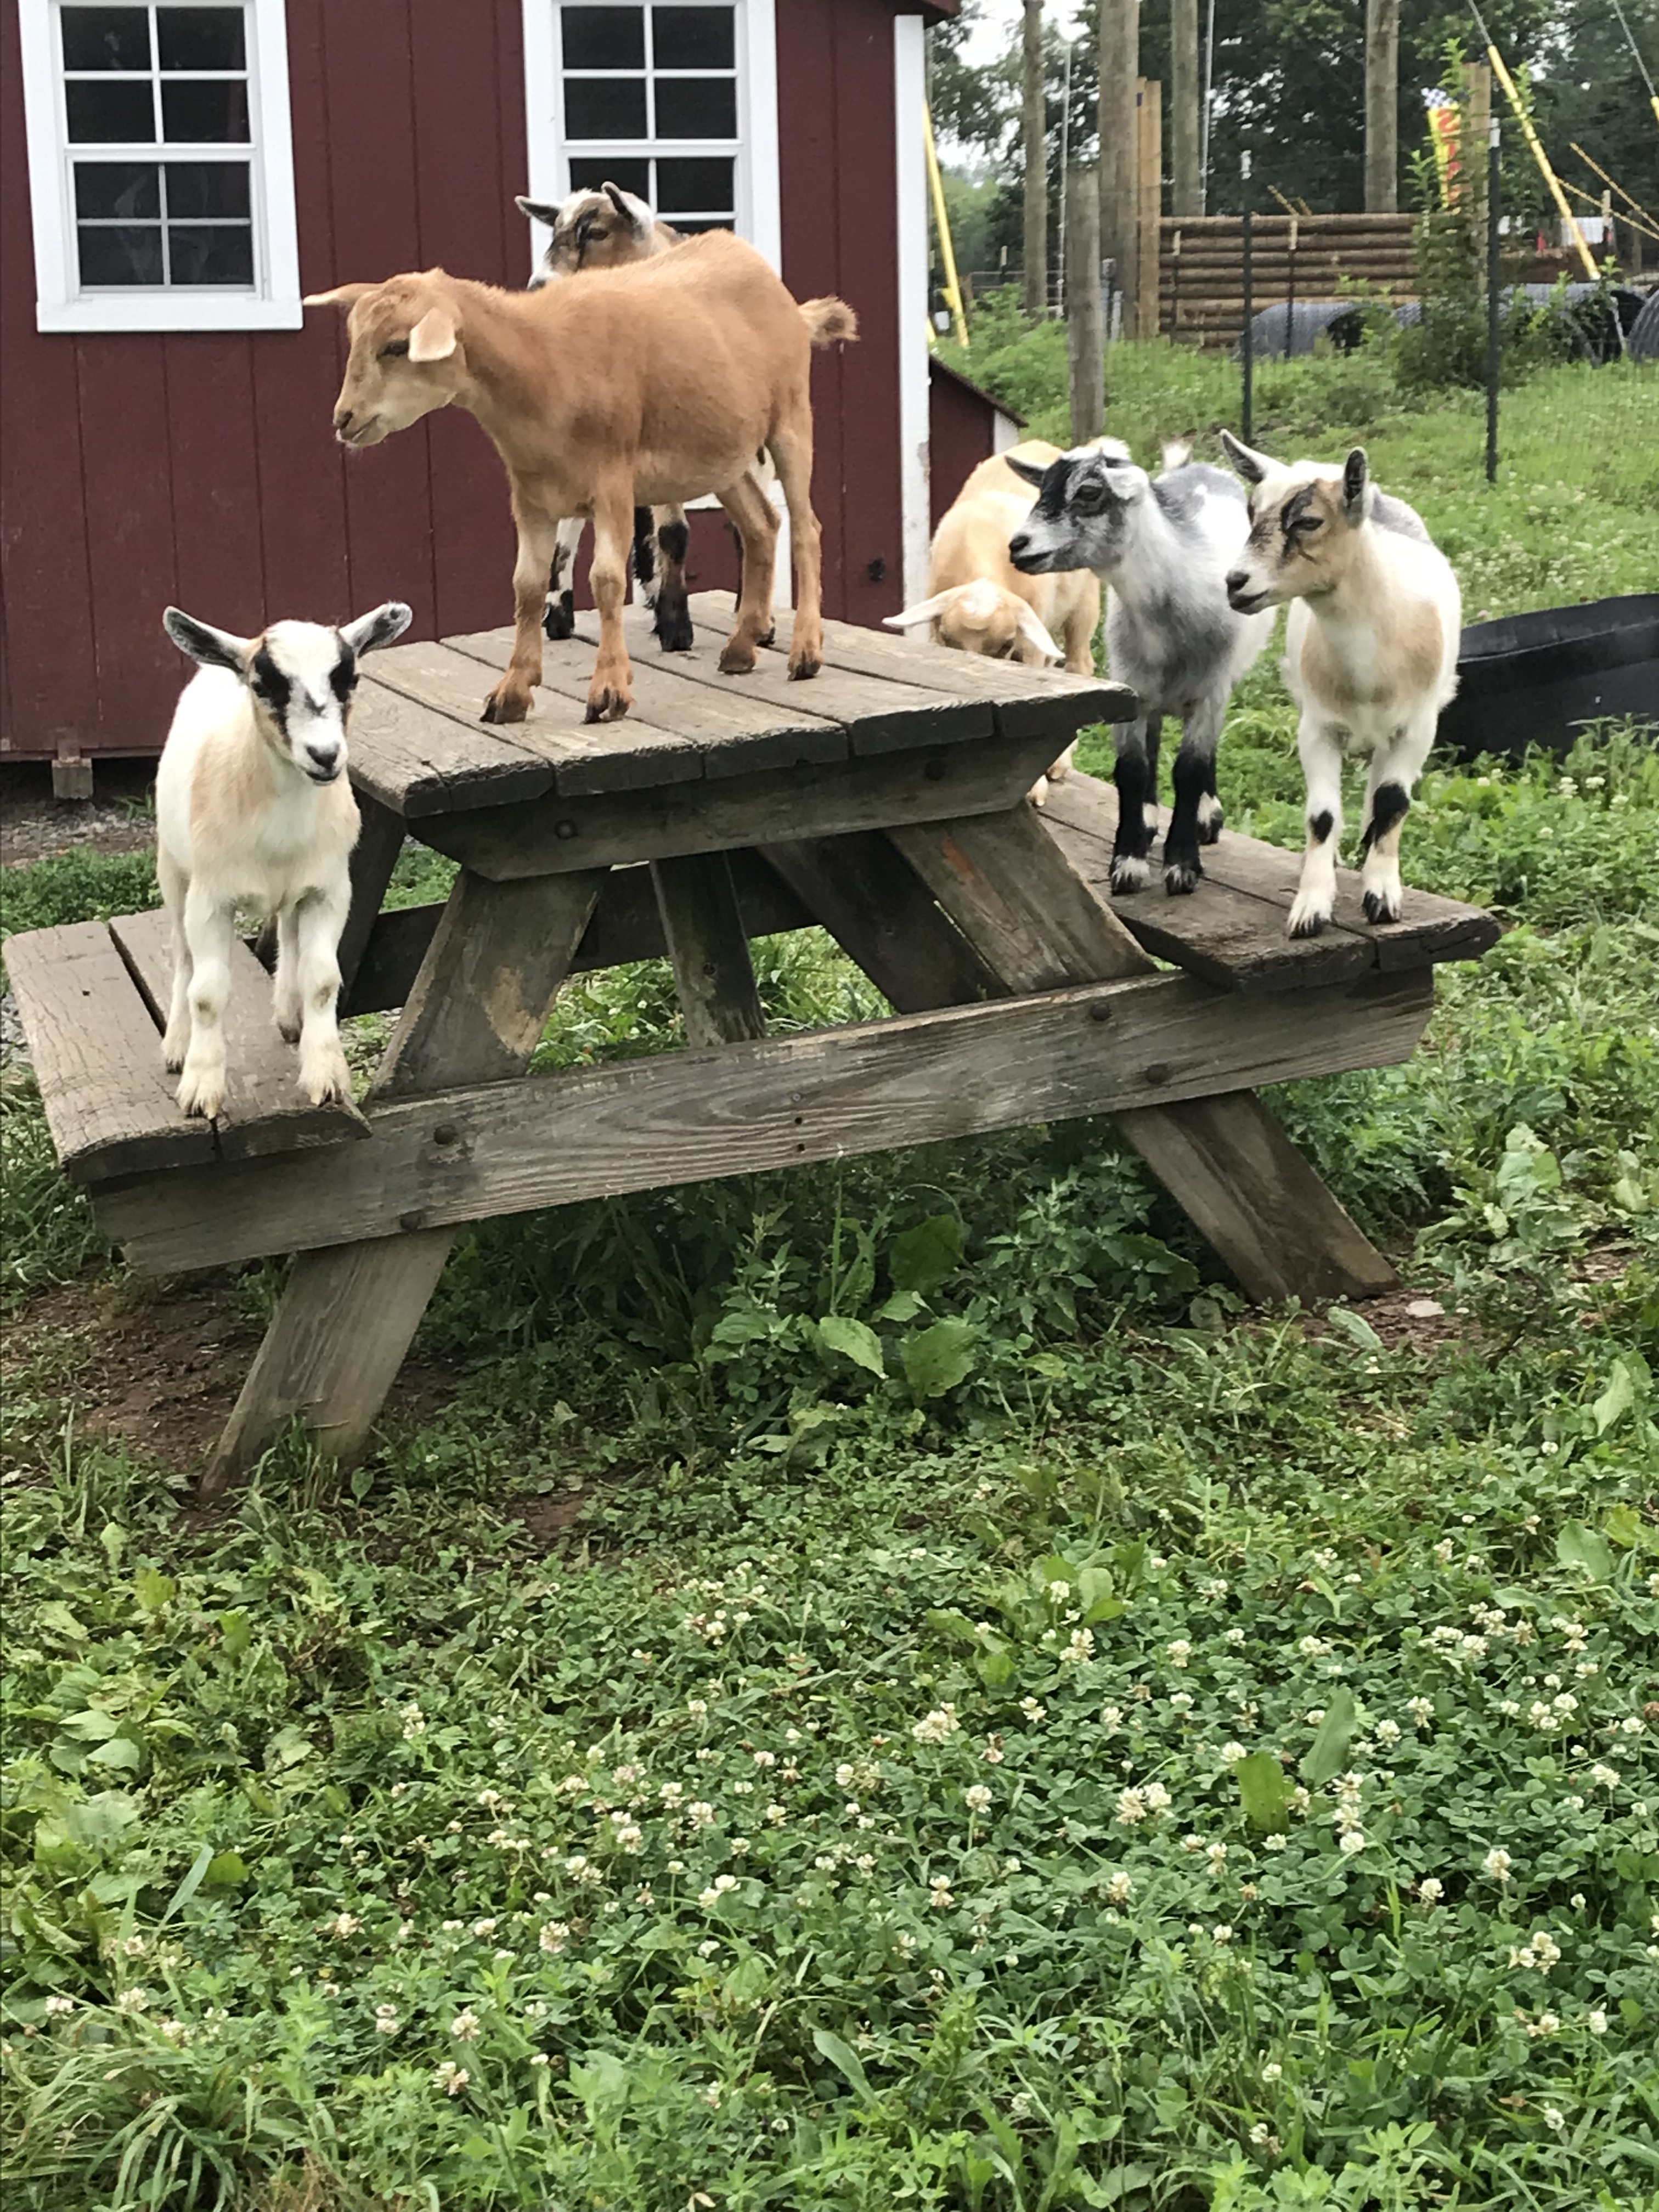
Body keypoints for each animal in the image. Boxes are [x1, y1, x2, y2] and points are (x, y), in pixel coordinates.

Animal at [155, 600, 412, 1120]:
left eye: (350, 678)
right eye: (263, 685)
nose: (325, 755)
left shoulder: (329, 890)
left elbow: (323, 980)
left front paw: (326, 1077)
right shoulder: (210, 900)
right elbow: (207, 993)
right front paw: (200, 1090)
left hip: (296, 892)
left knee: (290, 938)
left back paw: (291, 1017)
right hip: (172, 869)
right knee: (182, 954)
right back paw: (176, 1046)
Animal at [306, 232, 853, 725]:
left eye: (398, 345)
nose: (344, 419)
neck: (543, 366)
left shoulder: (613, 484)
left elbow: (606, 581)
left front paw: (609, 690)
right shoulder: (530, 496)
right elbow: (527, 586)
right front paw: (512, 692)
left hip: (791, 419)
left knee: (806, 529)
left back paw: (805, 652)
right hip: (723, 454)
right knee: (761, 525)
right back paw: (742, 647)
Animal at [883, 440, 1102, 790]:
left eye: (1005, 644)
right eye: (948, 639)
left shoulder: (1029, 645)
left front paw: (1035, 788)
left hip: (1084, 605)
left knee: (1079, 665)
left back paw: (1060, 764)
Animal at [1007, 439, 1274, 894]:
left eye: (1089, 491)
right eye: (1042, 488)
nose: (1018, 545)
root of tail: (1200, 468)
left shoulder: (1211, 693)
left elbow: (1191, 769)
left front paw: (1182, 864)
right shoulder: (1129, 689)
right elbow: (1132, 769)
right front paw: (1129, 860)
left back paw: (1207, 816)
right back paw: (1149, 820)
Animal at [1219, 432, 1461, 938]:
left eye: (1309, 521)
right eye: (1251, 512)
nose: (1236, 583)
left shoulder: (1418, 729)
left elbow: (1393, 803)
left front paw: (1383, 898)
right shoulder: (1317, 729)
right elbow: (1322, 816)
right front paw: (1311, 907)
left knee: (1379, 795)